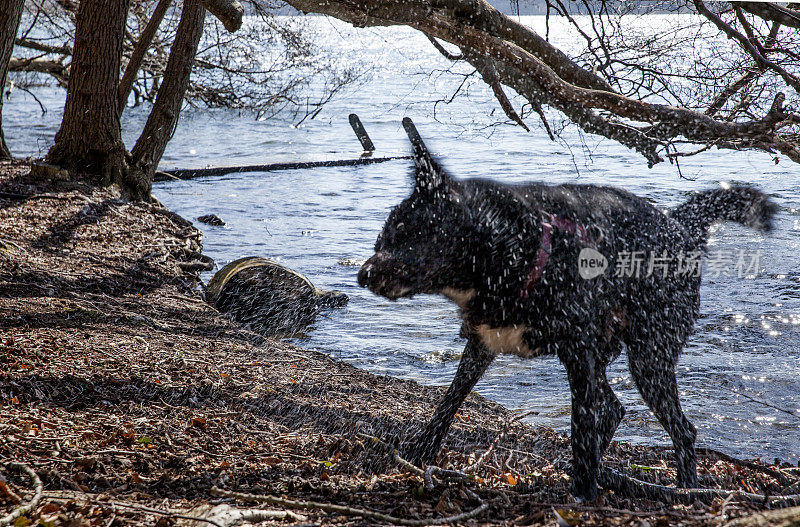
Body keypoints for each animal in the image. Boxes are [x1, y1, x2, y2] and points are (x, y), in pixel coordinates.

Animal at [356, 117, 776, 502]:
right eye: (382, 236)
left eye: (407, 234)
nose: (362, 275)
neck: (513, 252)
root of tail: (680, 226)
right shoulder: (483, 343)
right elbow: (449, 401)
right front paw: (420, 452)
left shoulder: (578, 357)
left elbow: (581, 431)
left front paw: (583, 497)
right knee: (613, 409)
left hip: (648, 359)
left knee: (678, 429)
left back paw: (685, 490)